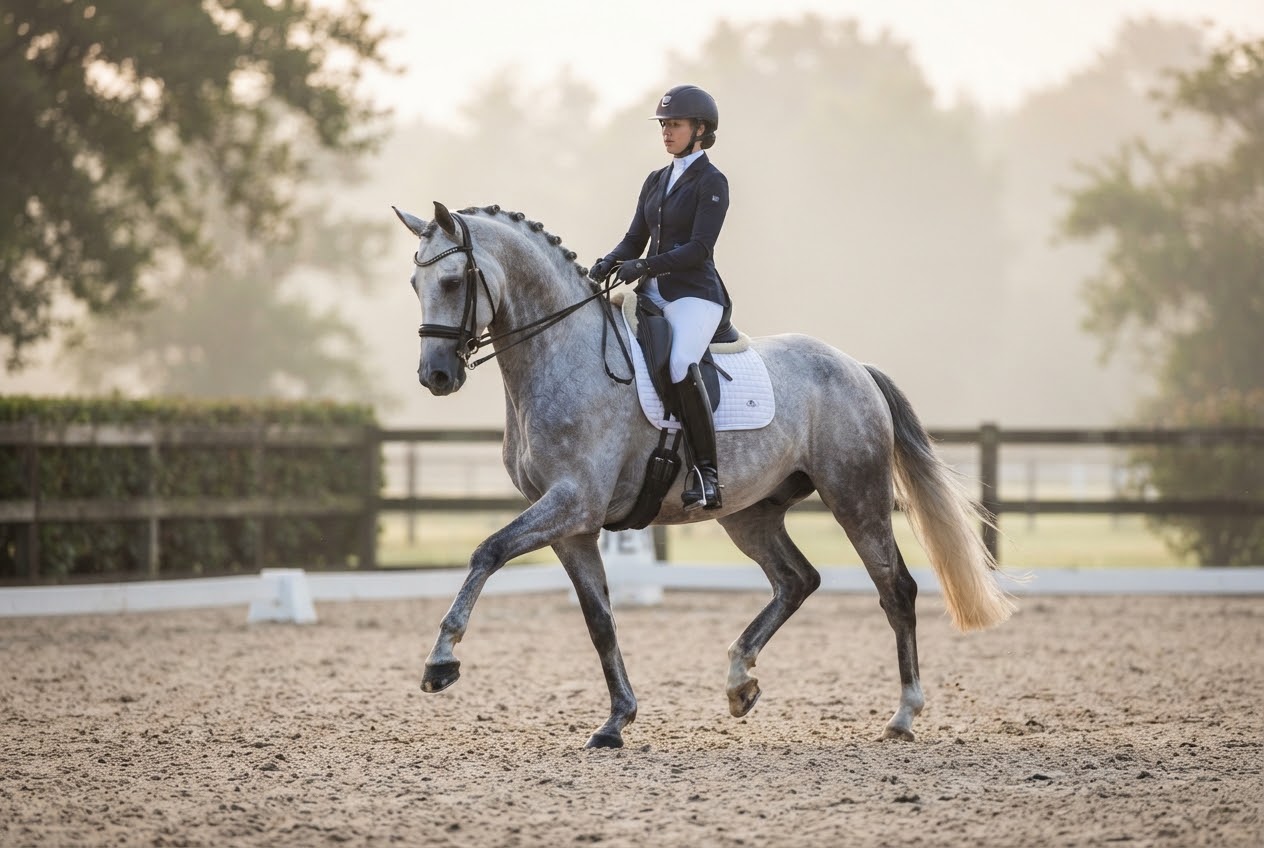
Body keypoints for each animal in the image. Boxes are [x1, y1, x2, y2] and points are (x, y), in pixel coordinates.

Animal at [394, 200, 1014, 749]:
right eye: (415, 284)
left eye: (453, 280)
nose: (436, 376)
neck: (561, 355)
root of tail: (854, 366)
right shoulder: (574, 527)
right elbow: (600, 622)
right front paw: (615, 722)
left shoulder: (572, 503)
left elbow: (488, 551)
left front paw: (441, 662)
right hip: (749, 514)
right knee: (797, 580)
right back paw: (740, 683)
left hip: (855, 496)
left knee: (895, 589)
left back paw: (903, 714)